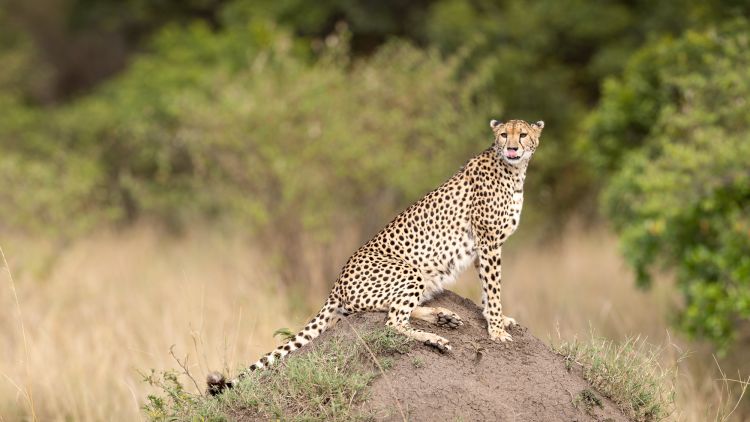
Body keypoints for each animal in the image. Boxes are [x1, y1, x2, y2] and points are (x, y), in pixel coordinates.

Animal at [209, 118, 544, 392]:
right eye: (503, 135)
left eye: (523, 134)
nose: (512, 148)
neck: (513, 170)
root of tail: (336, 282)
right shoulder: (488, 242)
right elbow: (493, 287)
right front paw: (497, 329)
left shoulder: (484, 247)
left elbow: (489, 290)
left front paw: (497, 320)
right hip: (409, 271)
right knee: (392, 320)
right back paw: (436, 337)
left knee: (389, 310)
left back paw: (443, 316)